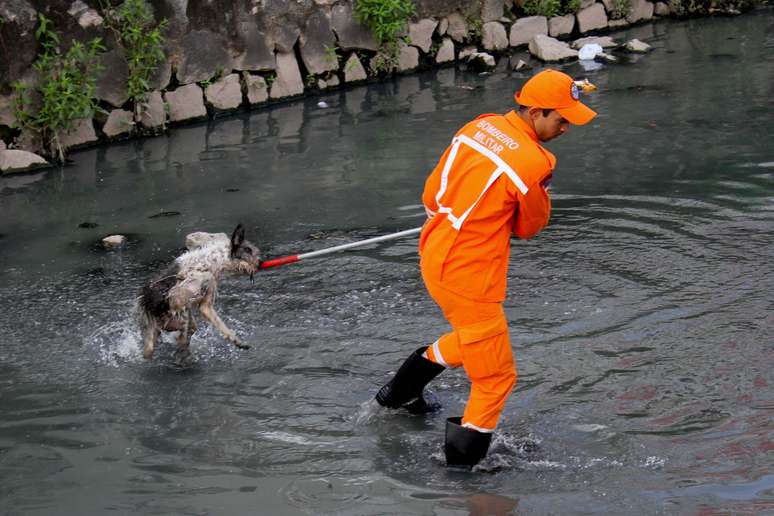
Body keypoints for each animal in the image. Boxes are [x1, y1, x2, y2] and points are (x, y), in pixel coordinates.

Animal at [138, 225, 262, 362]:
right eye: (248, 250)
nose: (260, 263)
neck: (216, 260)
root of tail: (146, 302)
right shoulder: (202, 297)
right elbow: (220, 324)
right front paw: (238, 341)